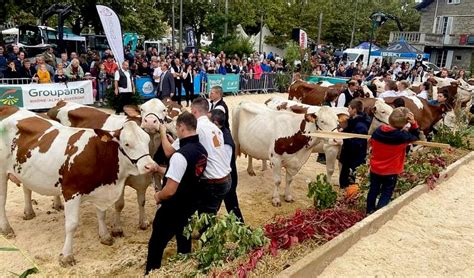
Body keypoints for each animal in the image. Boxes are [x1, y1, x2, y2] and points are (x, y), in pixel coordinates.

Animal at [0, 106, 159, 264]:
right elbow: (72, 224)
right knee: (2, 200)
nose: (150, 166)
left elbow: (101, 214)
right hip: (1, 174)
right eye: (127, 144)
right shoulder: (71, 192)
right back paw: (7, 229)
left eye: (147, 141)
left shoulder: (100, 190)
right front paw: (66, 256)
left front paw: (105, 236)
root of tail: (9, 107)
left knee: (27, 189)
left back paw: (29, 212)